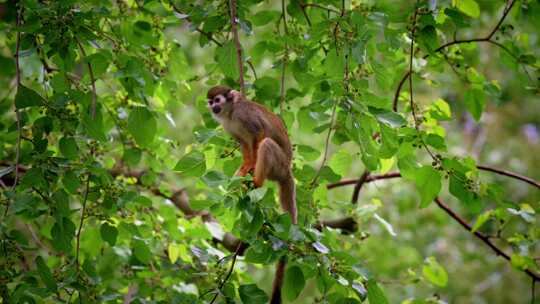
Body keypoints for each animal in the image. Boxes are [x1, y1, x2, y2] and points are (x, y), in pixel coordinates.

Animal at [208, 85, 300, 304]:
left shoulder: (244, 115)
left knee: (265, 143)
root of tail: (287, 170)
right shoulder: (229, 127)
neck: (231, 112)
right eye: (210, 102)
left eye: (217, 100)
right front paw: (245, 167)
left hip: (278, 164)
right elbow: (244, 144)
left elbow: (259, 134)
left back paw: (258, 180)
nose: (213, 107)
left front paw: (251, 168)